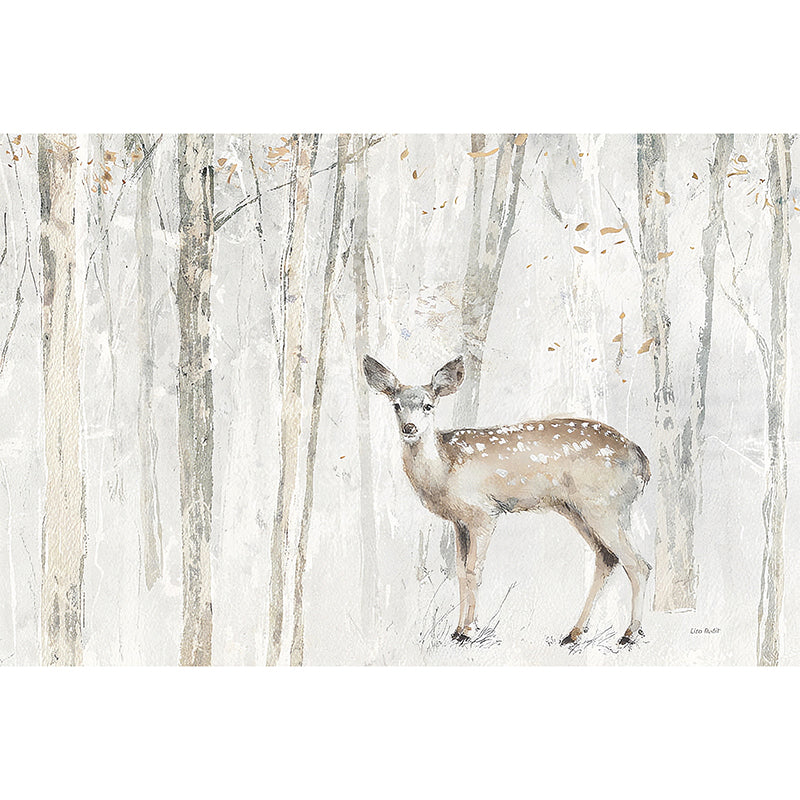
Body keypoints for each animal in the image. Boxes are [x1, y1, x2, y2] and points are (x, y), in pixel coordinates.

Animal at [363, 354, 652, 647]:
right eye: (396, 405)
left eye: (428, 406)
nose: (409, 428)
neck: (445, 469)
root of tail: (642, 461)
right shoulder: (459, 521)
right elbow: (459, 572)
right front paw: (456, 630)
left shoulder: (484, 512)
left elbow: (473, 571)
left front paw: (469, 631)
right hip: (576, 508)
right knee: (607, 558)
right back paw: (574, 633)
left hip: (604, 504)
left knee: (638, 564)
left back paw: (629, 634)